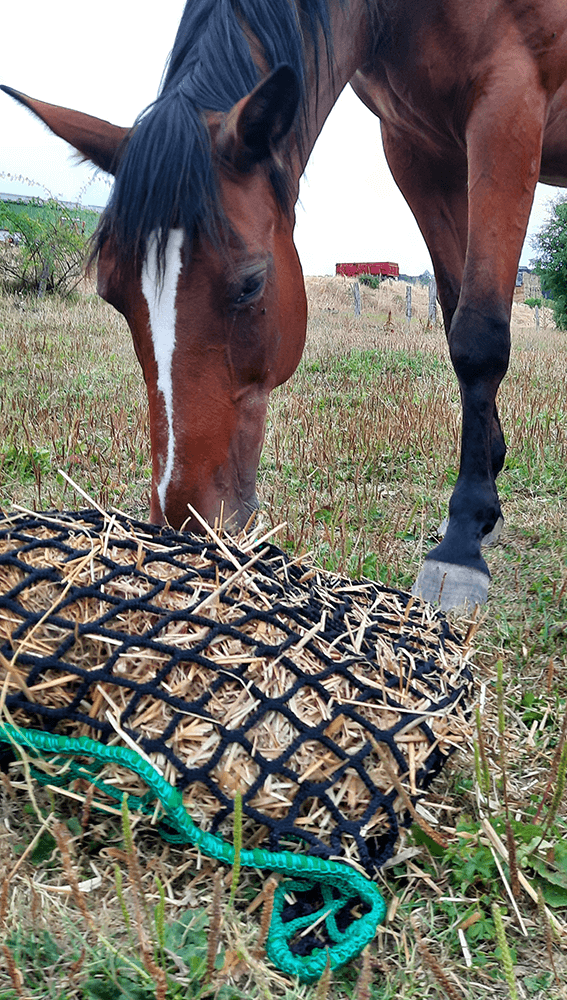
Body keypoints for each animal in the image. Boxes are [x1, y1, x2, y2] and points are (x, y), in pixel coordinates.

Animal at [3, 0, 567, 612]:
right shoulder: (416, 146)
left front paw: (462, 540)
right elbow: (454, 305)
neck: (398, 16)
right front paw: (486, 492)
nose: (185, 520)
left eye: (250, 284)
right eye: (112, 294)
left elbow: (479, 334)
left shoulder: (509, 105)